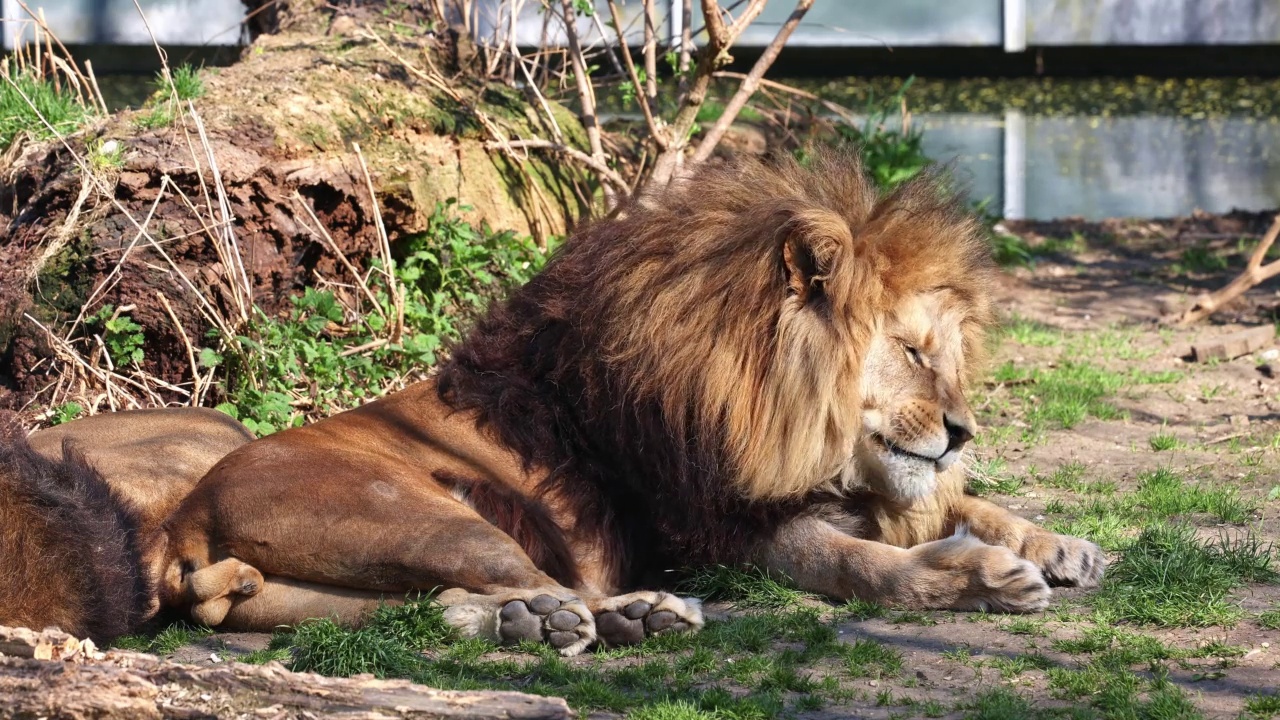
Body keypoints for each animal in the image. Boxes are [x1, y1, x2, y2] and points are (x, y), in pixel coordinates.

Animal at [137, 148, 1100, 653]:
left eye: (947, 356)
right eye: (908, 351)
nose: (963, 430)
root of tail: (183, 525)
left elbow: (965, 503)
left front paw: (1060, 544)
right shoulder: (712, 528)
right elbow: (849, 563)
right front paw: (977, 576)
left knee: (449, 608)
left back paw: (535, 622)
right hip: (419, 513)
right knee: (525, 576)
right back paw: (637, 613)